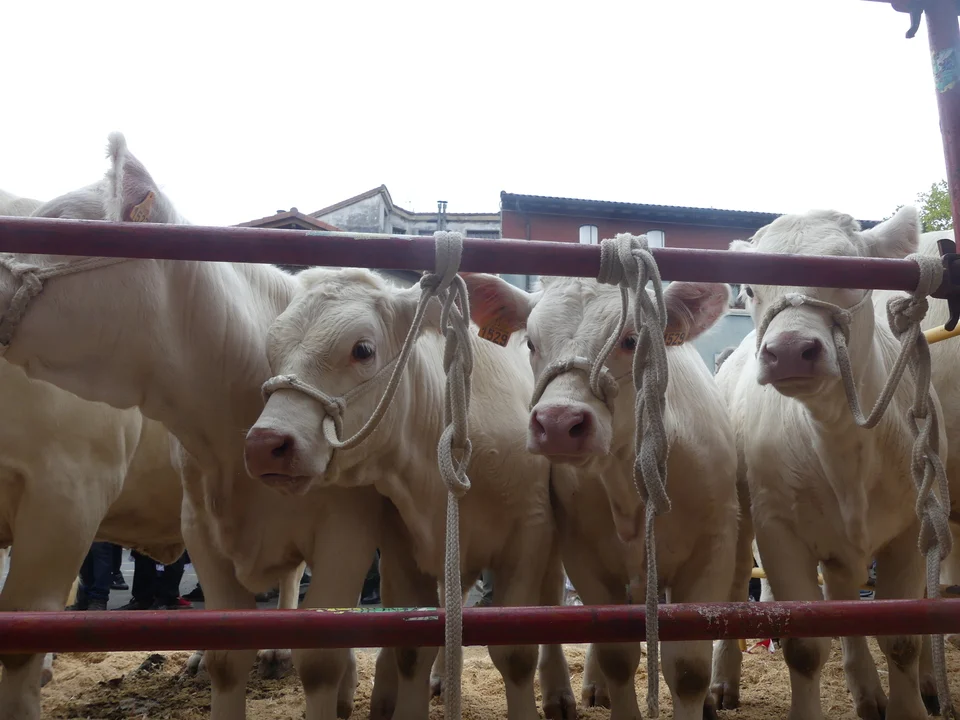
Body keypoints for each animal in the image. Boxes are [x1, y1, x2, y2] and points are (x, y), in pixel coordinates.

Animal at [243, 265, 577, 720]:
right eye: (271, 349)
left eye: (363, 349)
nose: (265, 444)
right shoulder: (402, 545)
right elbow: (412, 648)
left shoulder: (530, 532)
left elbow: (517, 652)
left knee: (552, 594)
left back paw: (560, 692)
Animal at [456, 270, 740, 720]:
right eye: (531, 342)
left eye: (630, 339)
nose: (557, 423)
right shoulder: (584, 555)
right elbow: (615, 654)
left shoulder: (714, 548)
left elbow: (689, 668)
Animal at [709, 207, 958, 720]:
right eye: (751, 289)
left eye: (847, 272)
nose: (787, 350)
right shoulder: (779, 528)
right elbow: (805, 646)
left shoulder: (913, 526)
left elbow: (901, 638)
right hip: (739, 513)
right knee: (737, 580)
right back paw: (722, 682)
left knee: (843, 596)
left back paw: (868, 692)